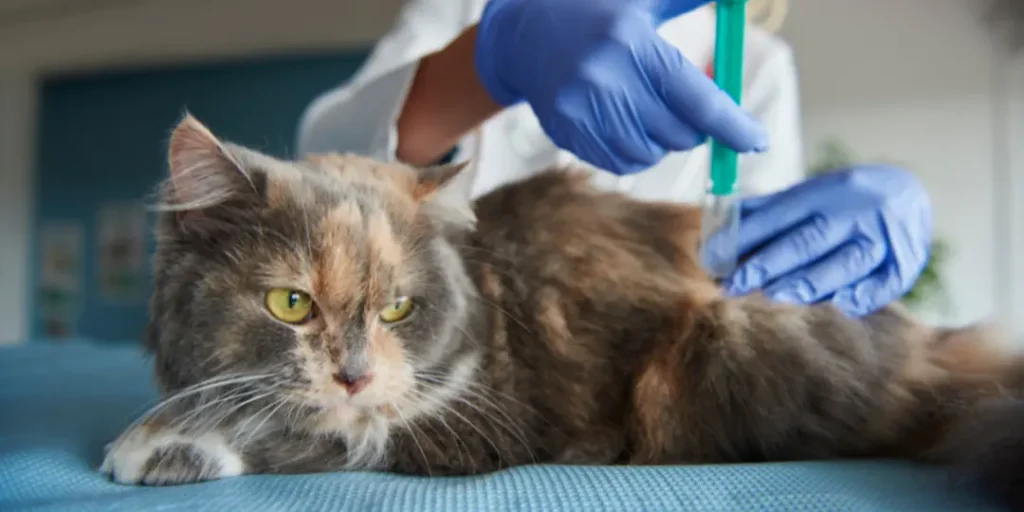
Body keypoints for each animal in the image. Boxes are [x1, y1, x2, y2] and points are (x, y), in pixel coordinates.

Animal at [105, 114, 1024, 509]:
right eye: (291, 304)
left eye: (398, 309)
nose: (356, 375)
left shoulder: (482, 421)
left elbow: (308, 432)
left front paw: (151, 445)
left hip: (719, 349)